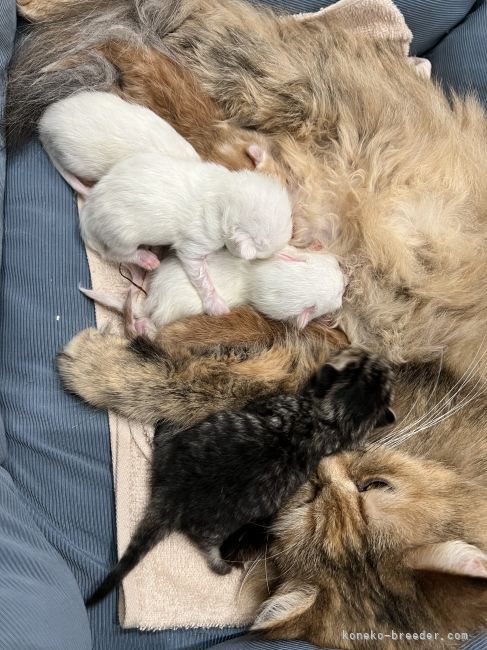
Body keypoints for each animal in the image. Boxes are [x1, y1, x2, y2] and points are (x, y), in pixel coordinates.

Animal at [86, 346, 394, 604]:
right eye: (370, 364)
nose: (379, 356)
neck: (328, 421)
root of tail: (173, 497)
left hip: (206, 507)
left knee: (207, 549)